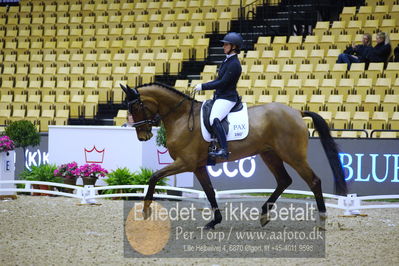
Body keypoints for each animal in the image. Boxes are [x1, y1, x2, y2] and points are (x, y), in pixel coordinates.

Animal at [120, 82, 348, 229]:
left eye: (136, 106)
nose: (143, 136)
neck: (181, 117)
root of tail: (297, 112)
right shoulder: (198, 166)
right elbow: (210, 192)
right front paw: (214, 221)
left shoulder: (185, 162)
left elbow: (154, 177)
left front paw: (146, 211)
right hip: (270, 155)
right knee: (284, 180)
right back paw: (264, 214)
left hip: (293, 155)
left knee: (313, 181)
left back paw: (321, 219)